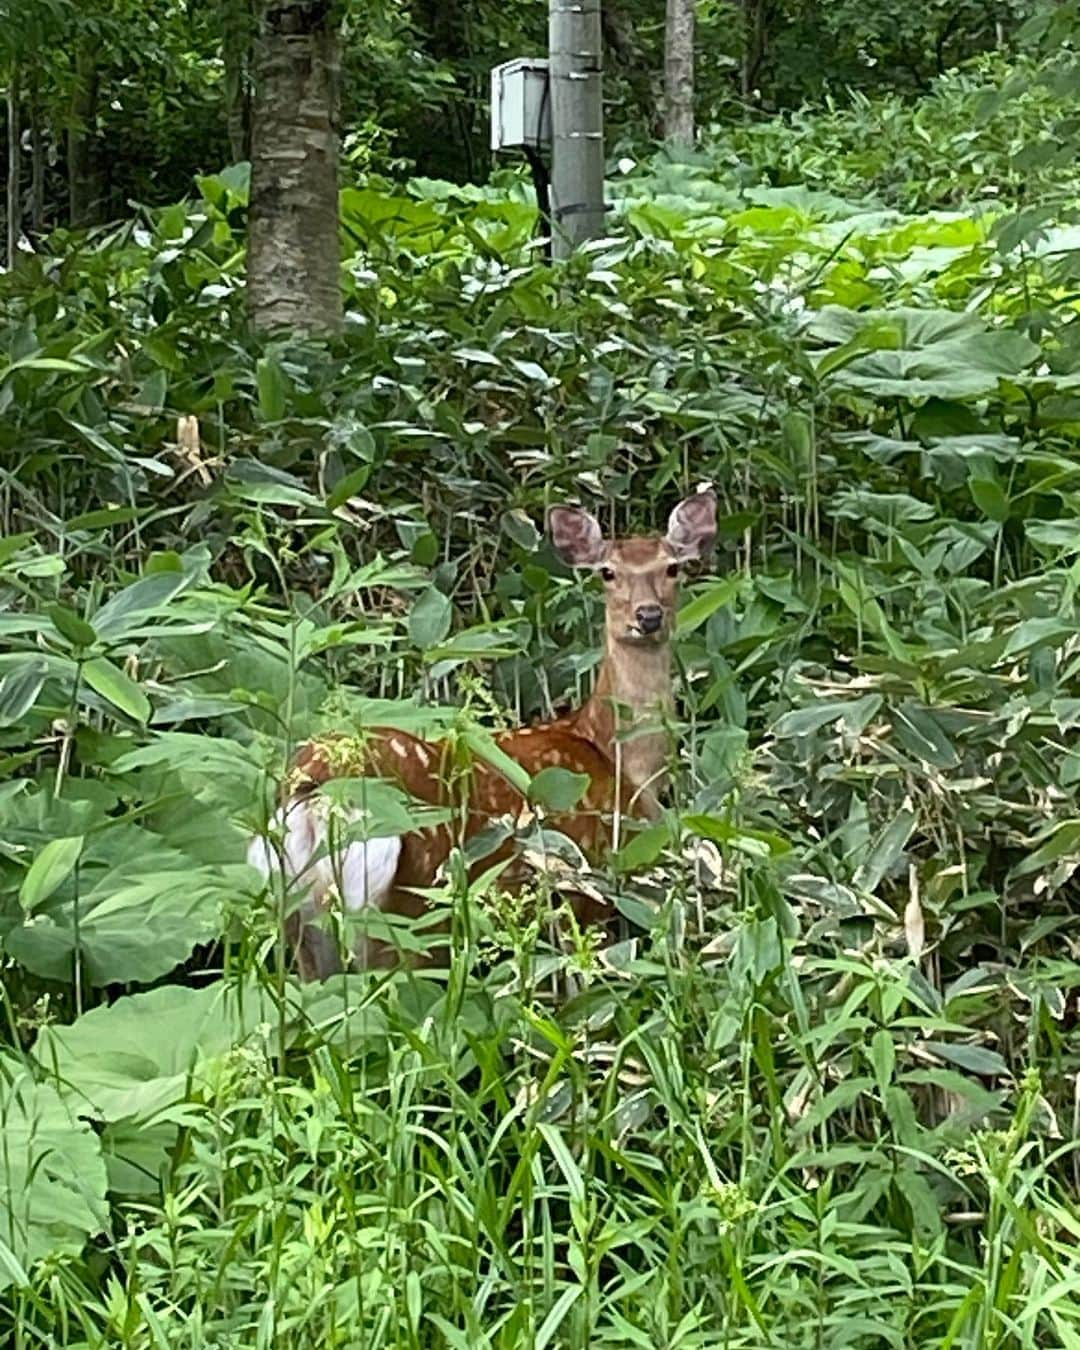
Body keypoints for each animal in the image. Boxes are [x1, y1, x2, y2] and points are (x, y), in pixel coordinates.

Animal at [244, 488, 718, 982]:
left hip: (299, 919)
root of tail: (319, 794)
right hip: (410, 906)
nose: (648, 616)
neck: (616, 757)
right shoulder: (589, 882)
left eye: (673, 566)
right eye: (608, 572)